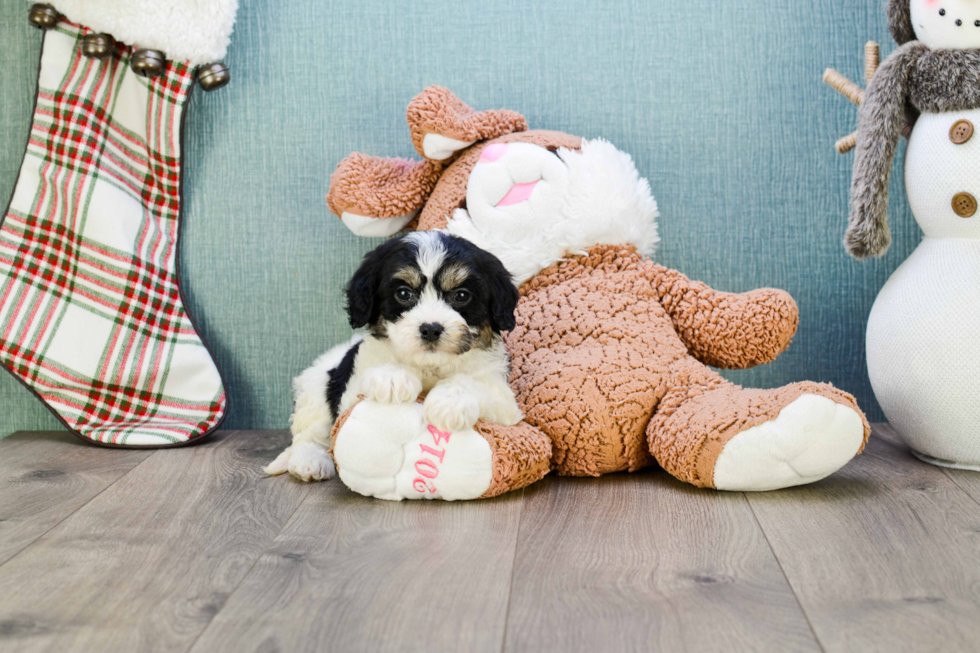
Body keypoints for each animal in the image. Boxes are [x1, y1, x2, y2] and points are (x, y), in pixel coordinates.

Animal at [264, 229, 524, 478]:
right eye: (404, 293)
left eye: (461, 295)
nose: (431, 329)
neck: (430, 367)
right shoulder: (352, 389)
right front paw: (392, 378)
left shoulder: (502, 397)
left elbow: (473, 383)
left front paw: (450, 403)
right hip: (316, 388)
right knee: (309, 433)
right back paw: (310, 461)